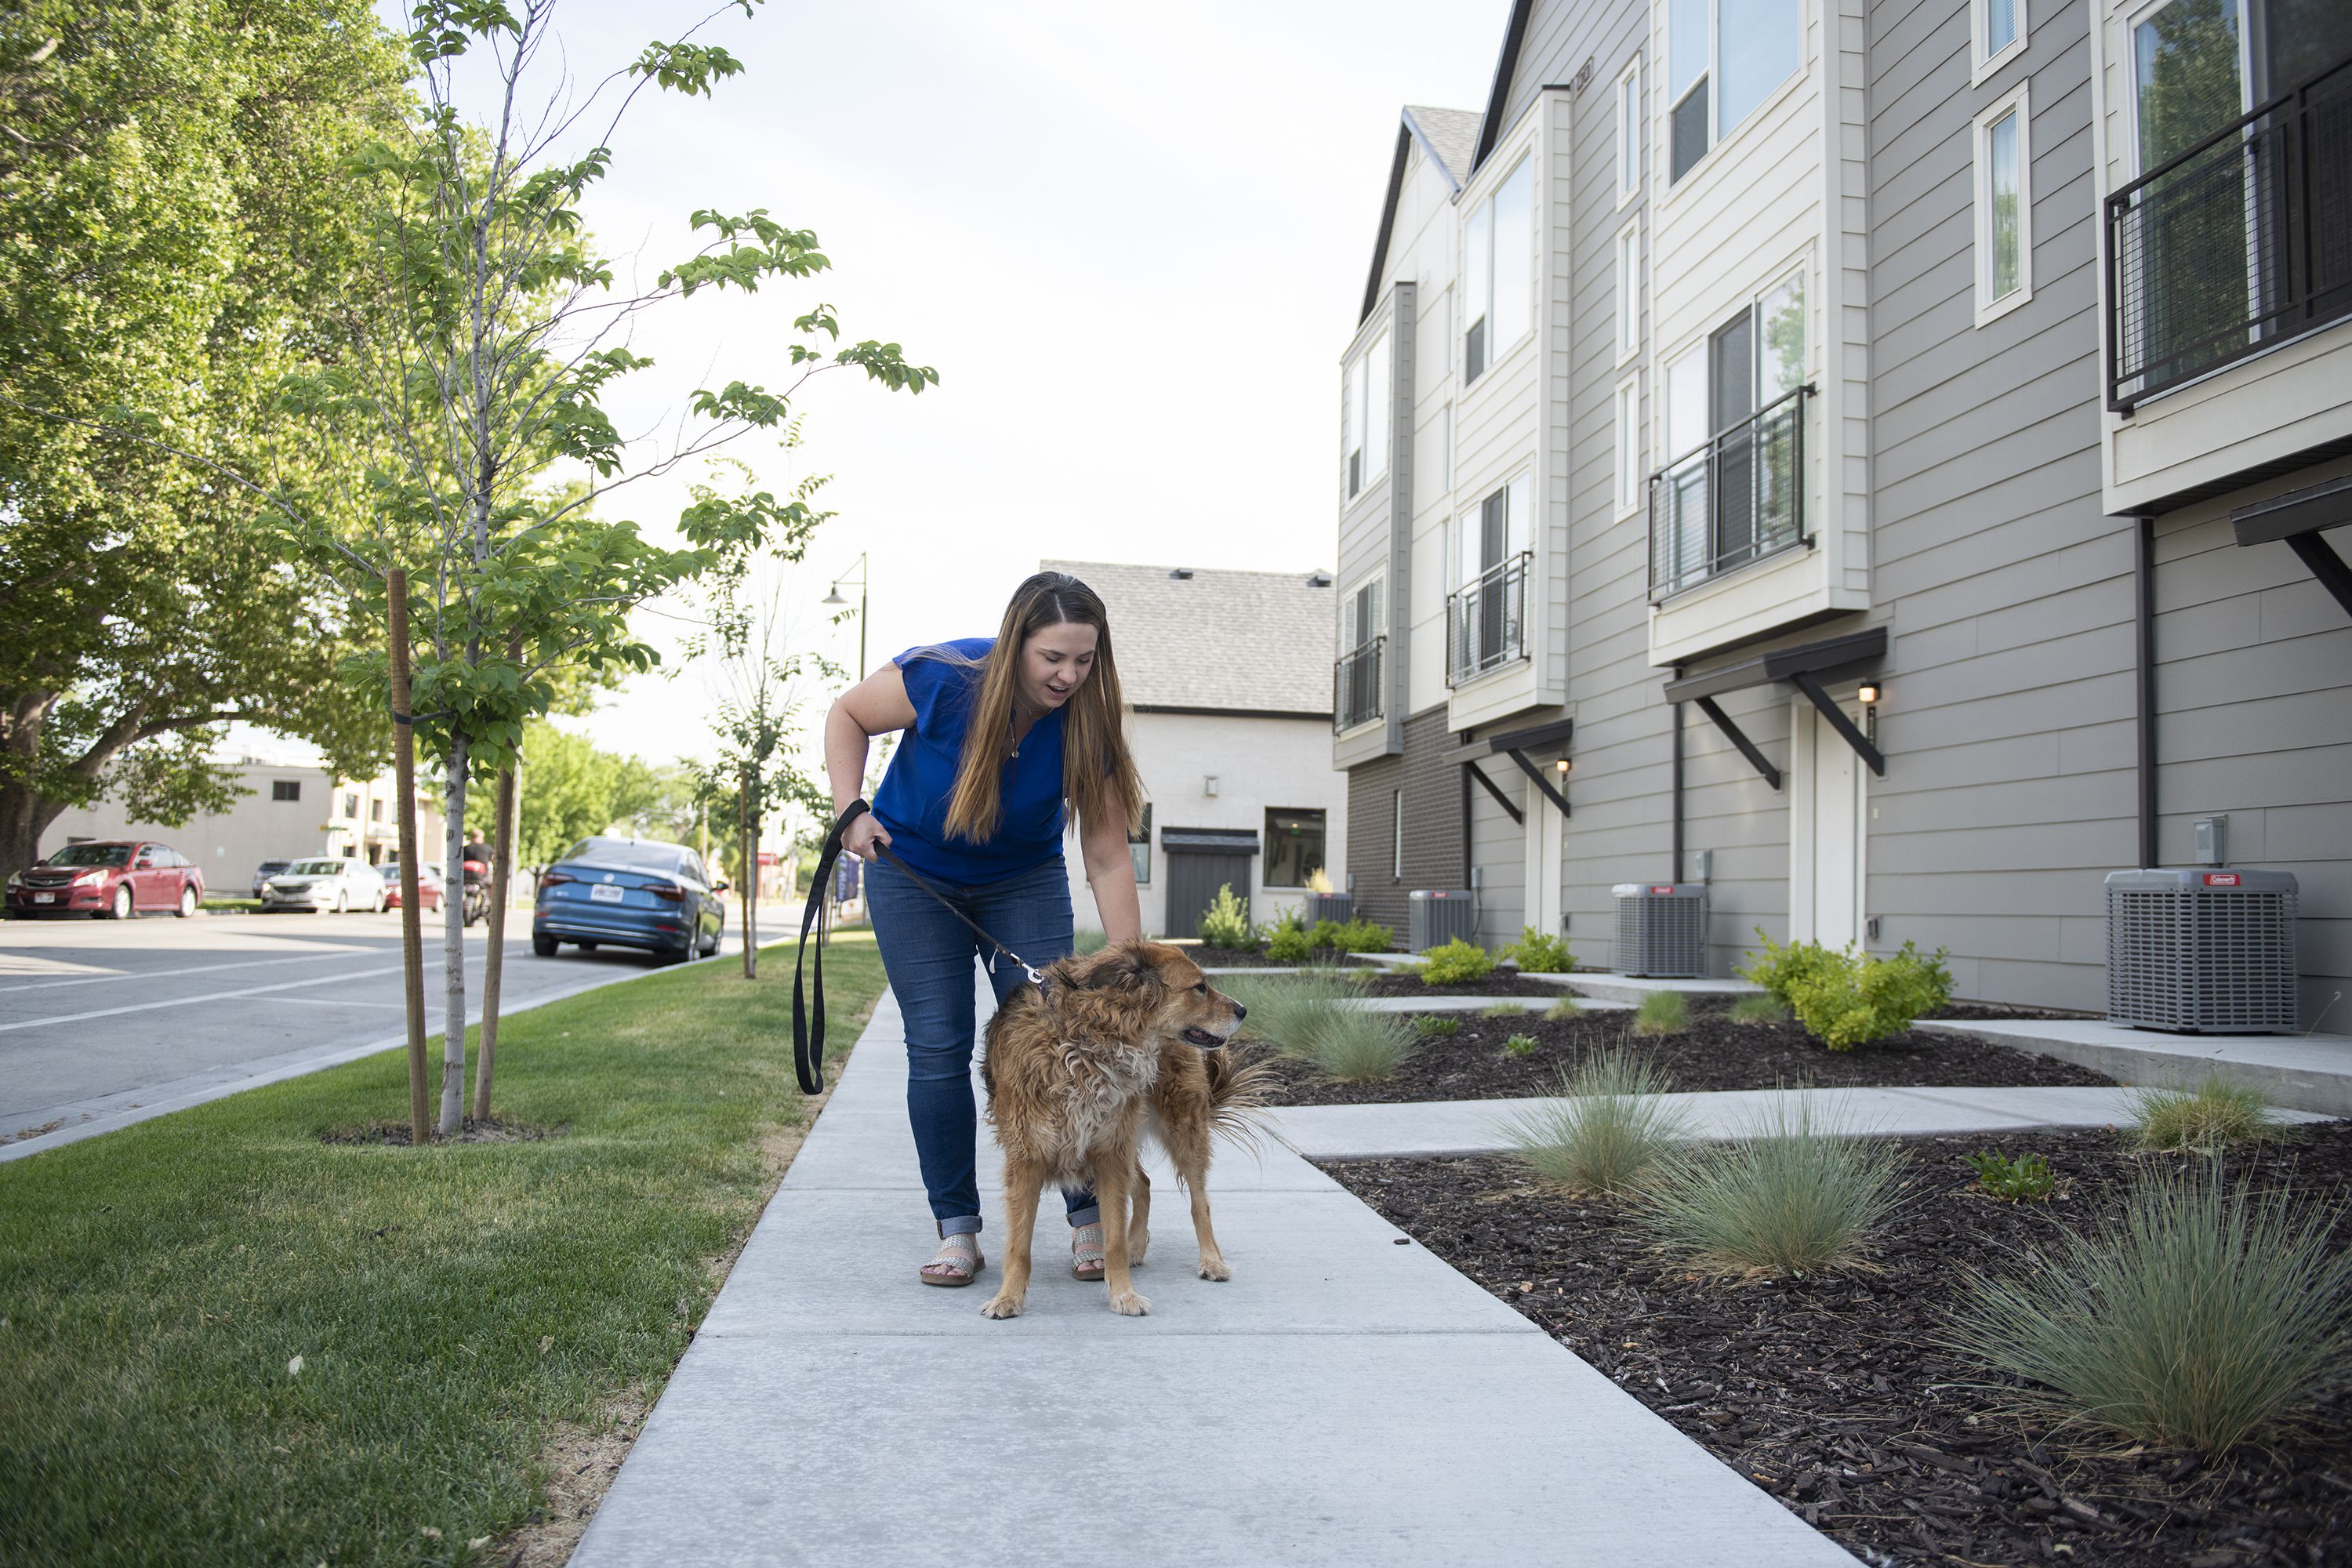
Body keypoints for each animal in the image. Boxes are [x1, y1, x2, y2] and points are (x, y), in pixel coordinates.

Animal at [974, 940, 1270, 1316]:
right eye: (1200, 987)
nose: (1244, 1010)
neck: (1087, 1039)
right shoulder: (1028, 1158)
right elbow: (1019, 1244)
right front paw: (1008, 1298)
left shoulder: (1109, 1153)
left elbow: (1112, 1239)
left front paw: (1124, 1295)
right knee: (1143, 1184)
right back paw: (1137, 1248)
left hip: (1181, 1128)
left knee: (1199, 1201)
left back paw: (1211, 1261)